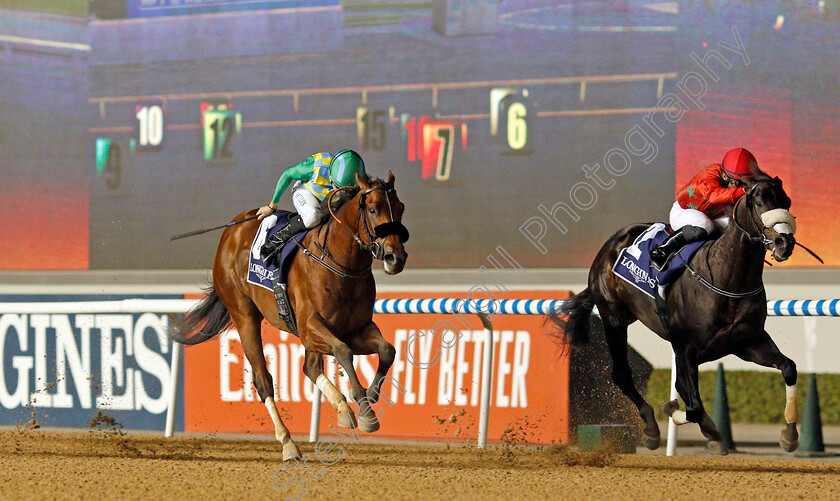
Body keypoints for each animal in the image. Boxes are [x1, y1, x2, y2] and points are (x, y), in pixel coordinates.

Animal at [168, 173, 406, 460]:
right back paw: (288, 442)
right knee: (263, 380)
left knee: (311, 368)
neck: (340, 264)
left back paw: (341, 410)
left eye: (401, 208)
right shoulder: (310, 326)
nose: (396, 257)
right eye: (372, 209)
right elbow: (343, 351)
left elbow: (387, 350)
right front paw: (364, 408)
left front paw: (368, 400)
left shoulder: (356, 328)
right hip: (244, 316)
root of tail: (230, 232)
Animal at [548, 174, 796, 456]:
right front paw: (678, 414)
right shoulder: (686, 346)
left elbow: (789, 367)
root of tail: (612, 241)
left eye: (787, 202)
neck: (727, 277)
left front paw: (789, 435)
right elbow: (693, 406)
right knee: (621, 373)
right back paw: (651, 429)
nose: (785, 243)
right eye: (758, 202)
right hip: (613, 318)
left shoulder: (747, 342)